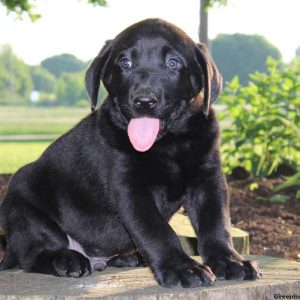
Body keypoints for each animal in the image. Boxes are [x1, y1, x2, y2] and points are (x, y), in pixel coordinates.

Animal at [0, 19, 262, 288]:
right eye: (125, 62)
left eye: (174, 63)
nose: (144, 101)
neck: (170, 143)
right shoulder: (130, 189)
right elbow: (157, 231)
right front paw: (182, 268)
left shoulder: (208, 178)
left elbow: (216, 223)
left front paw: (229, 261)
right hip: (22, 202)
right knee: (33, 254)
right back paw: (65, 260)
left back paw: (128, 257)